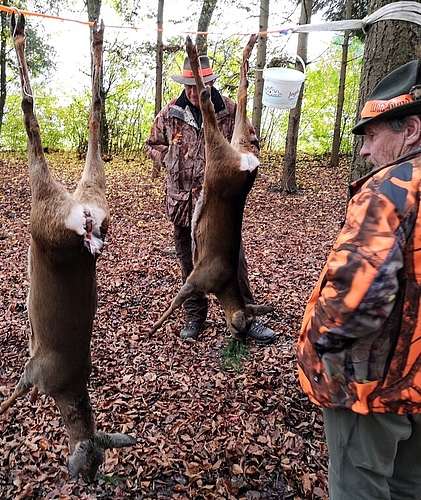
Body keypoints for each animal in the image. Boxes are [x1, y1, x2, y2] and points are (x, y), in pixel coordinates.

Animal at [0, 14, 135, 480]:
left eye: (96, 461)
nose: (90, 478)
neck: (68, 388)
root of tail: (85, 219)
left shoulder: (34, 369)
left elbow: (16, 388)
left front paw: (6, 407)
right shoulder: (38, 371)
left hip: (44, 219)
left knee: (41, 114)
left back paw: (24, 28)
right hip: (77, 202)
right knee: (78, 112)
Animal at [150, 34, 272, 340]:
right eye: (242, 324)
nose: (239, 337)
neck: (224, 284)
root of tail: (246, 161)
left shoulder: (196, 277)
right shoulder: (197, 278)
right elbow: (175, 302)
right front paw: (153, 328)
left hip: (236, 141)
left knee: (240, 92)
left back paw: (243, 50)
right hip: (219, 162)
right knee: (206, 98)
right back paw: (194, 53)